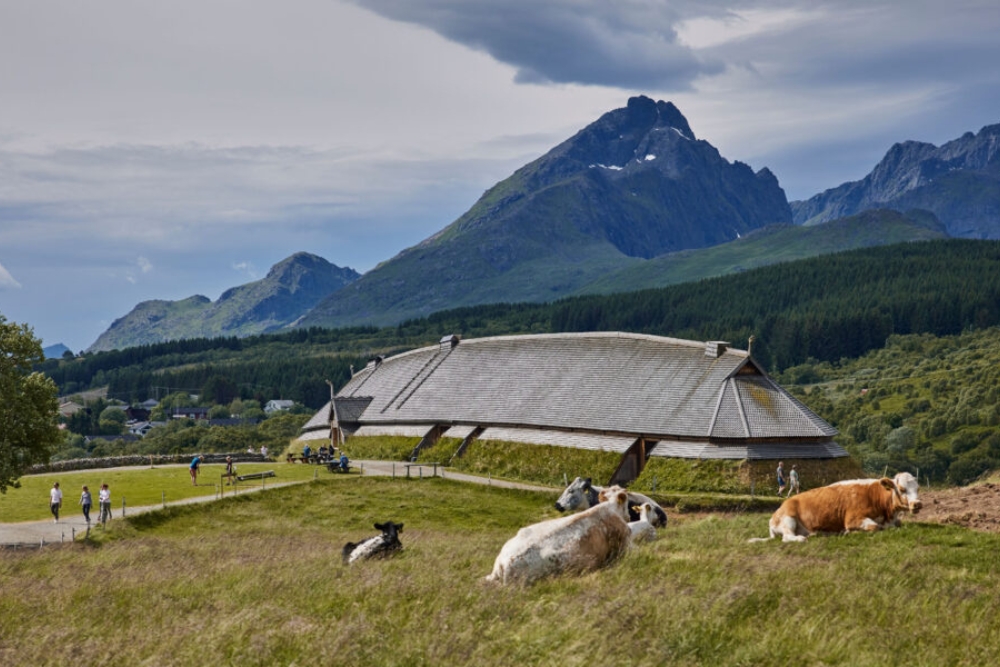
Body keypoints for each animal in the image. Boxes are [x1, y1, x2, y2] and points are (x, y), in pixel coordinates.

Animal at [752, 470, 920, 544]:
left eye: (918, 488)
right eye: (902, 489)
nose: (917, 504)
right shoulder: (853, 519)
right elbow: (874, 527)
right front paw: (849, 533)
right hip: (788, 519)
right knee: (787, 537)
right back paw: (801, 538)